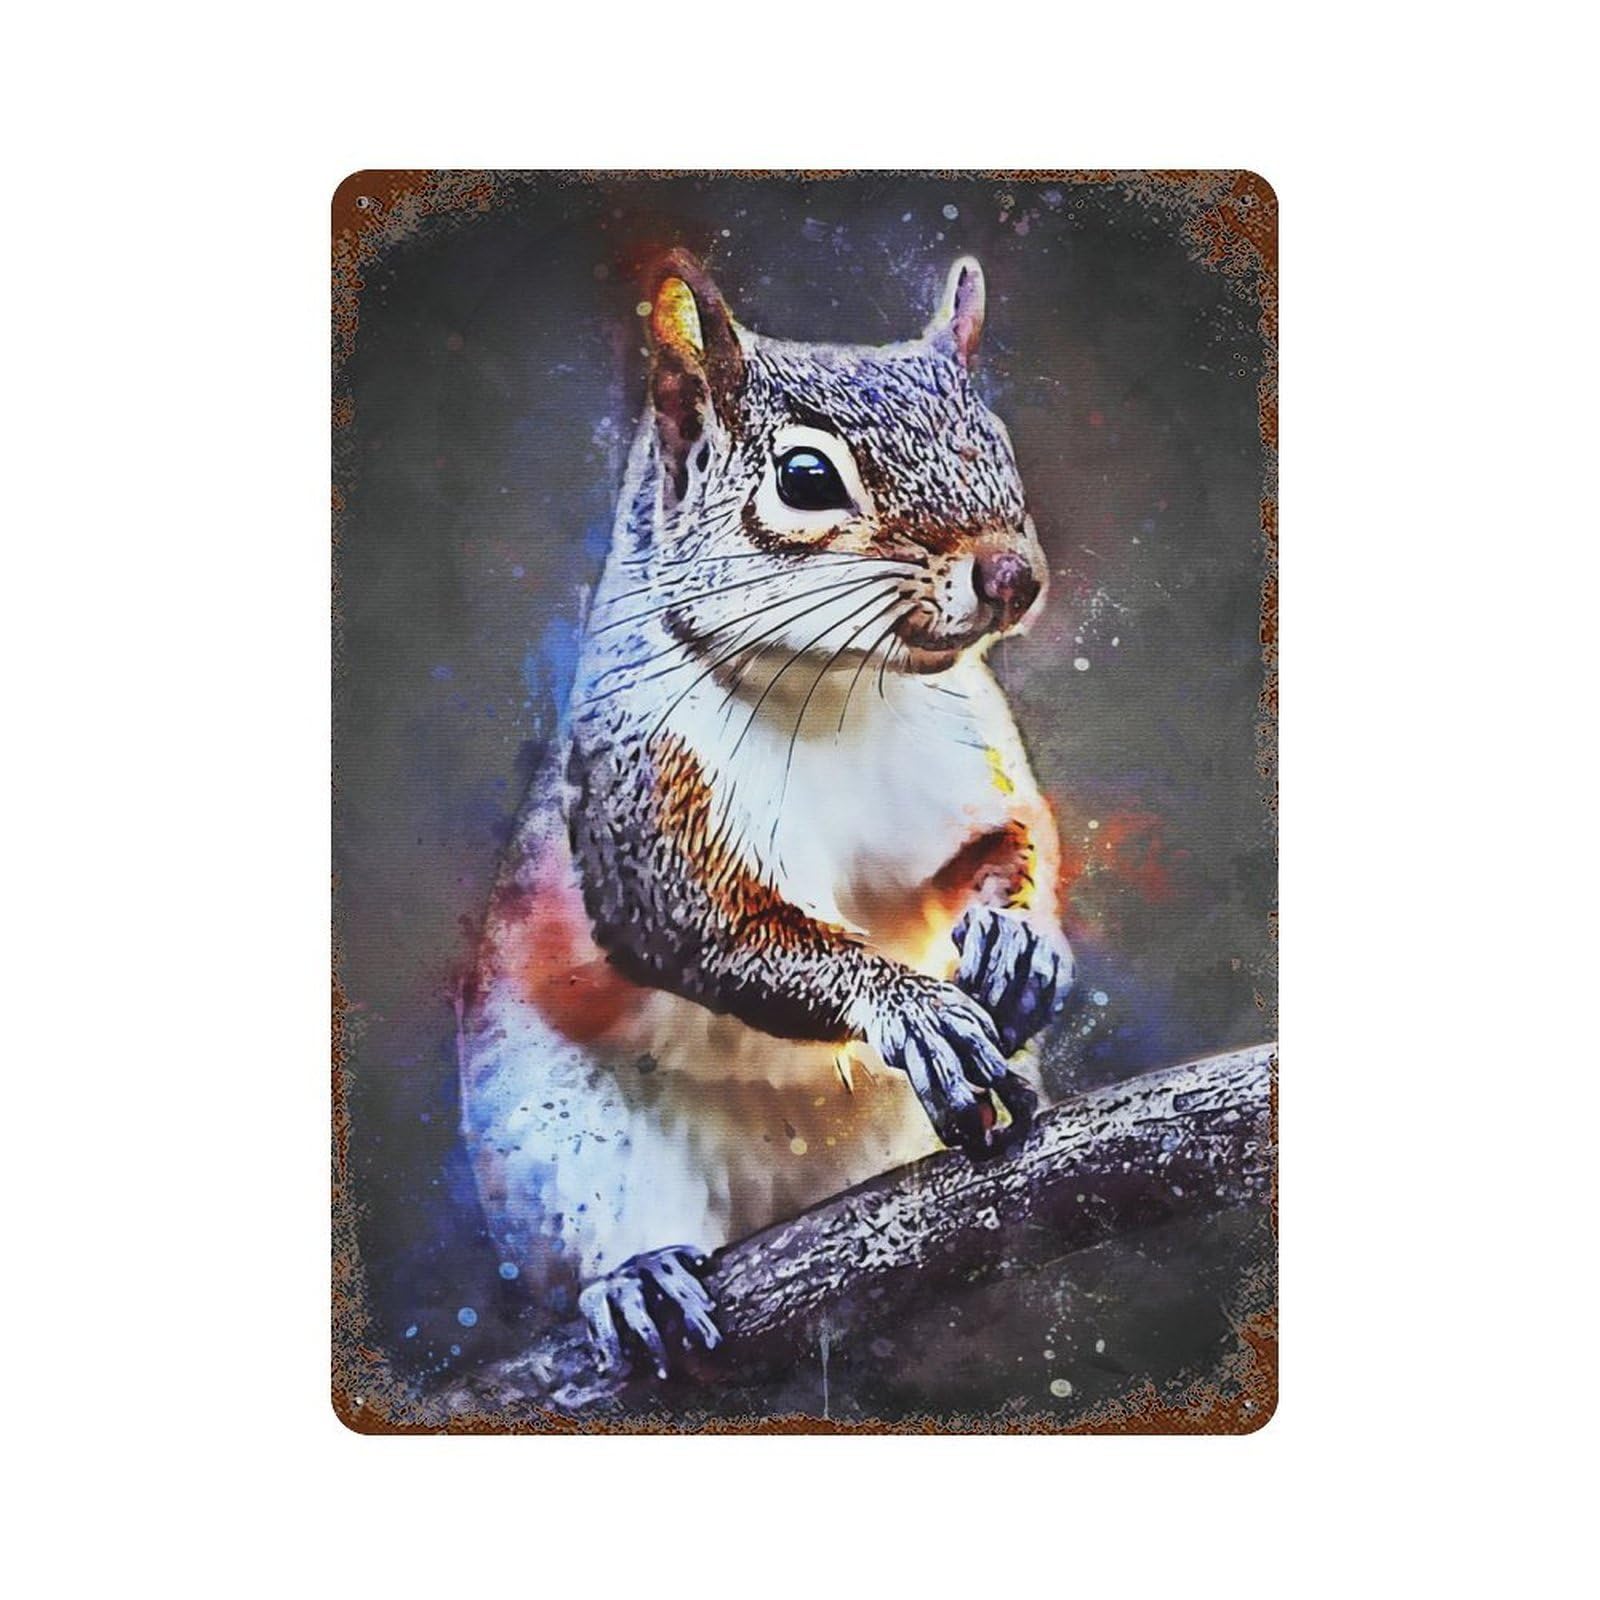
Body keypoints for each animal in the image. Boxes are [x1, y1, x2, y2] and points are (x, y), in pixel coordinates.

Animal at [458, 250, 1074, 1376]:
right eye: (806, 480)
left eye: (997, 440)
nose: (1013, 577)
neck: (837, 693)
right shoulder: (644, 794)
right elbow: (711, 929)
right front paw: (908, 1006)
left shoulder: (975, 754)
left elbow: (1012, 840)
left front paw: (1019, 942)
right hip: (560, 1152)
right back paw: (637, 1279)